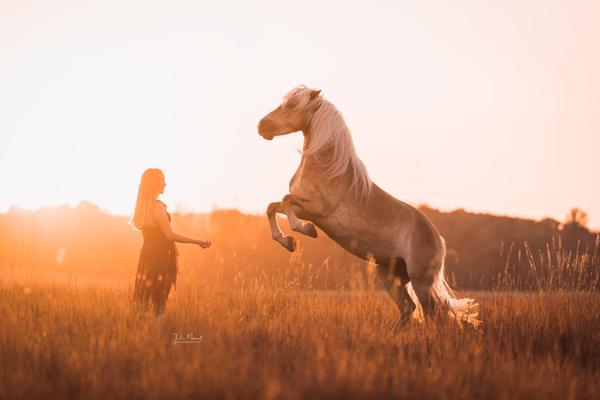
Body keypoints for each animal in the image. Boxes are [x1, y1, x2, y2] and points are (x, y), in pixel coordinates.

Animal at [255, 86, 480, 330]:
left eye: (293, 104)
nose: (261, 126)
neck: (328, 168)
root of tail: (439, 240)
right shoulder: (305, 208)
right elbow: (272, 207)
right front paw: (287, 241)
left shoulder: (316, 210)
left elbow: (286, 201)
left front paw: (303, 232)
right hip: (391, 275)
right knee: (408, 308)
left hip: (421, 281)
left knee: (433, 314)